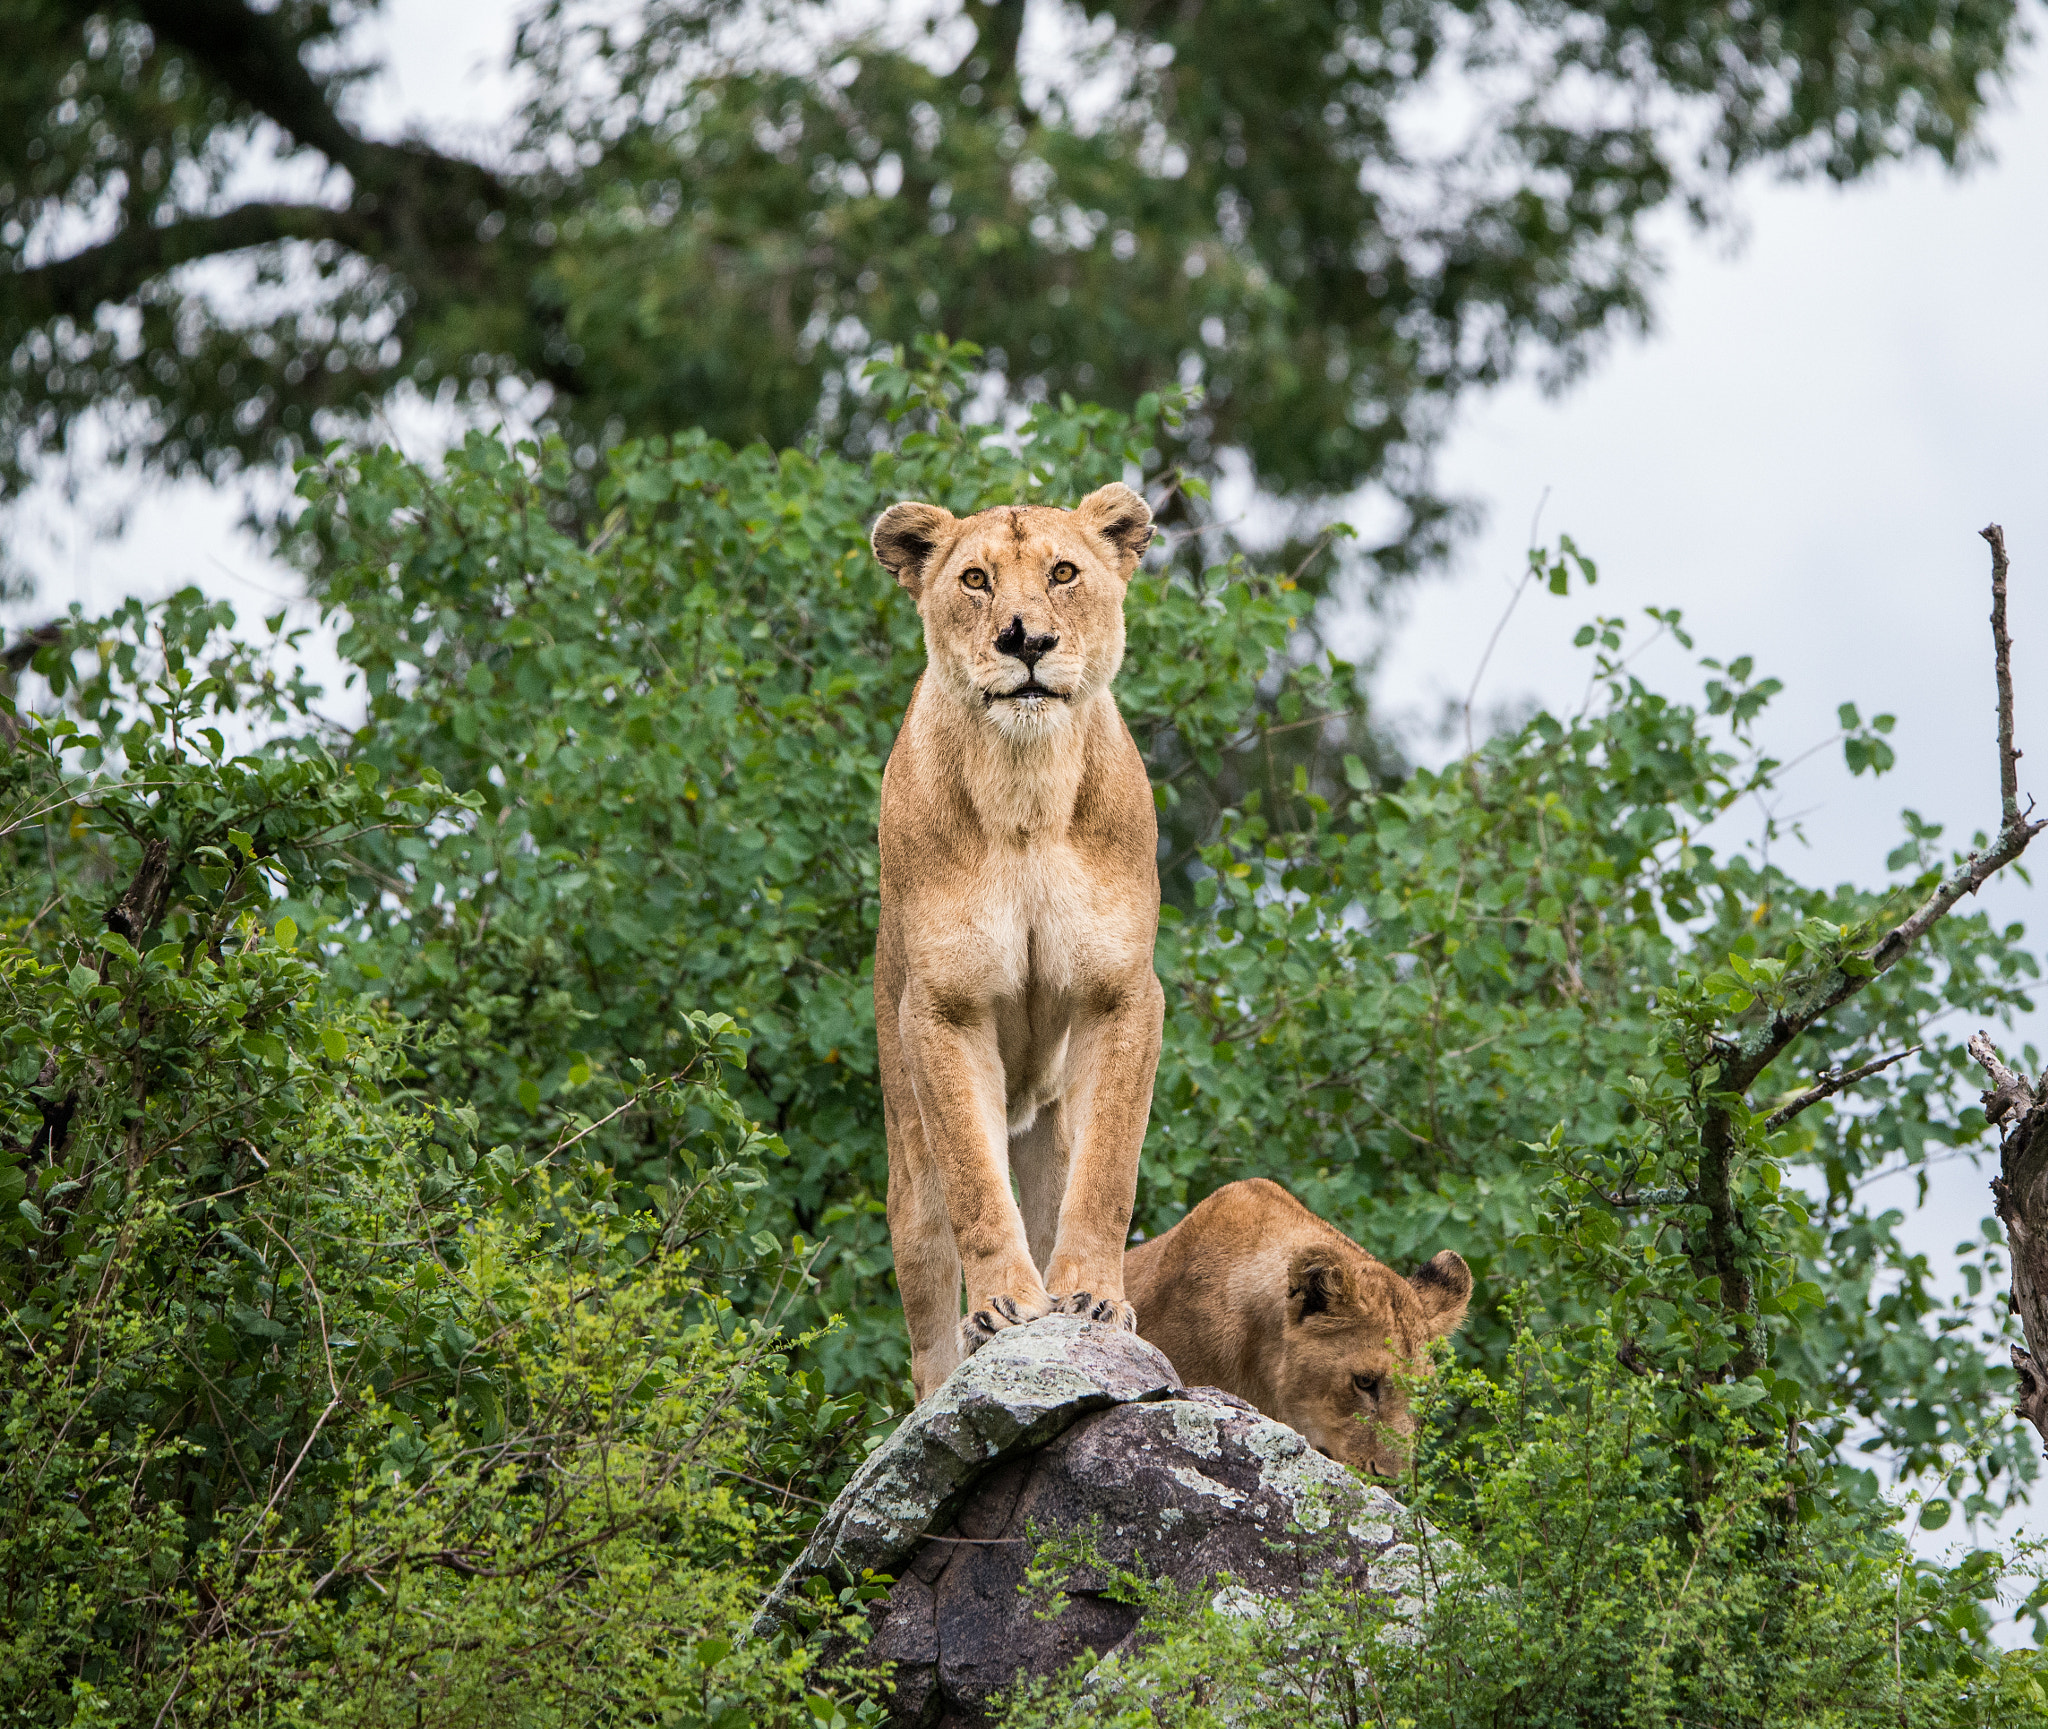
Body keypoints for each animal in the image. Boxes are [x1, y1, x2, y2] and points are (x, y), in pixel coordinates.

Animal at [871, 483, 1166, 1403]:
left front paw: (1095, 1299)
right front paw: (1003, 1308)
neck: (1027, 789)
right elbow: (975, 1180)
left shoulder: (1124, 995)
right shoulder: (942, 1008)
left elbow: (1109, 1171)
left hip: (1049, 1128)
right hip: (907, 1153)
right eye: (975, 580)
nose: (1025, 640)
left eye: (1063, 573)